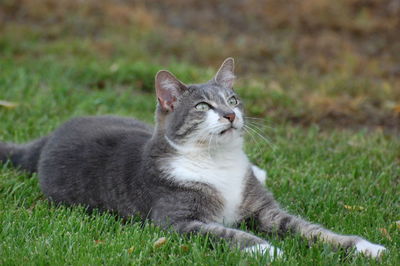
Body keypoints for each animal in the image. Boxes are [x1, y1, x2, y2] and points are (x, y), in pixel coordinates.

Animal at [0, 58, 388, 260]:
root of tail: (50, 137)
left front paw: (365, 247)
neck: (219, 162)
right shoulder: (175, 221)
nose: (230, 115)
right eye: (202, 106)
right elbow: (228, 233)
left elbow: (309, 229)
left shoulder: (265, 209)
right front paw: (269, 251)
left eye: (233, 99)